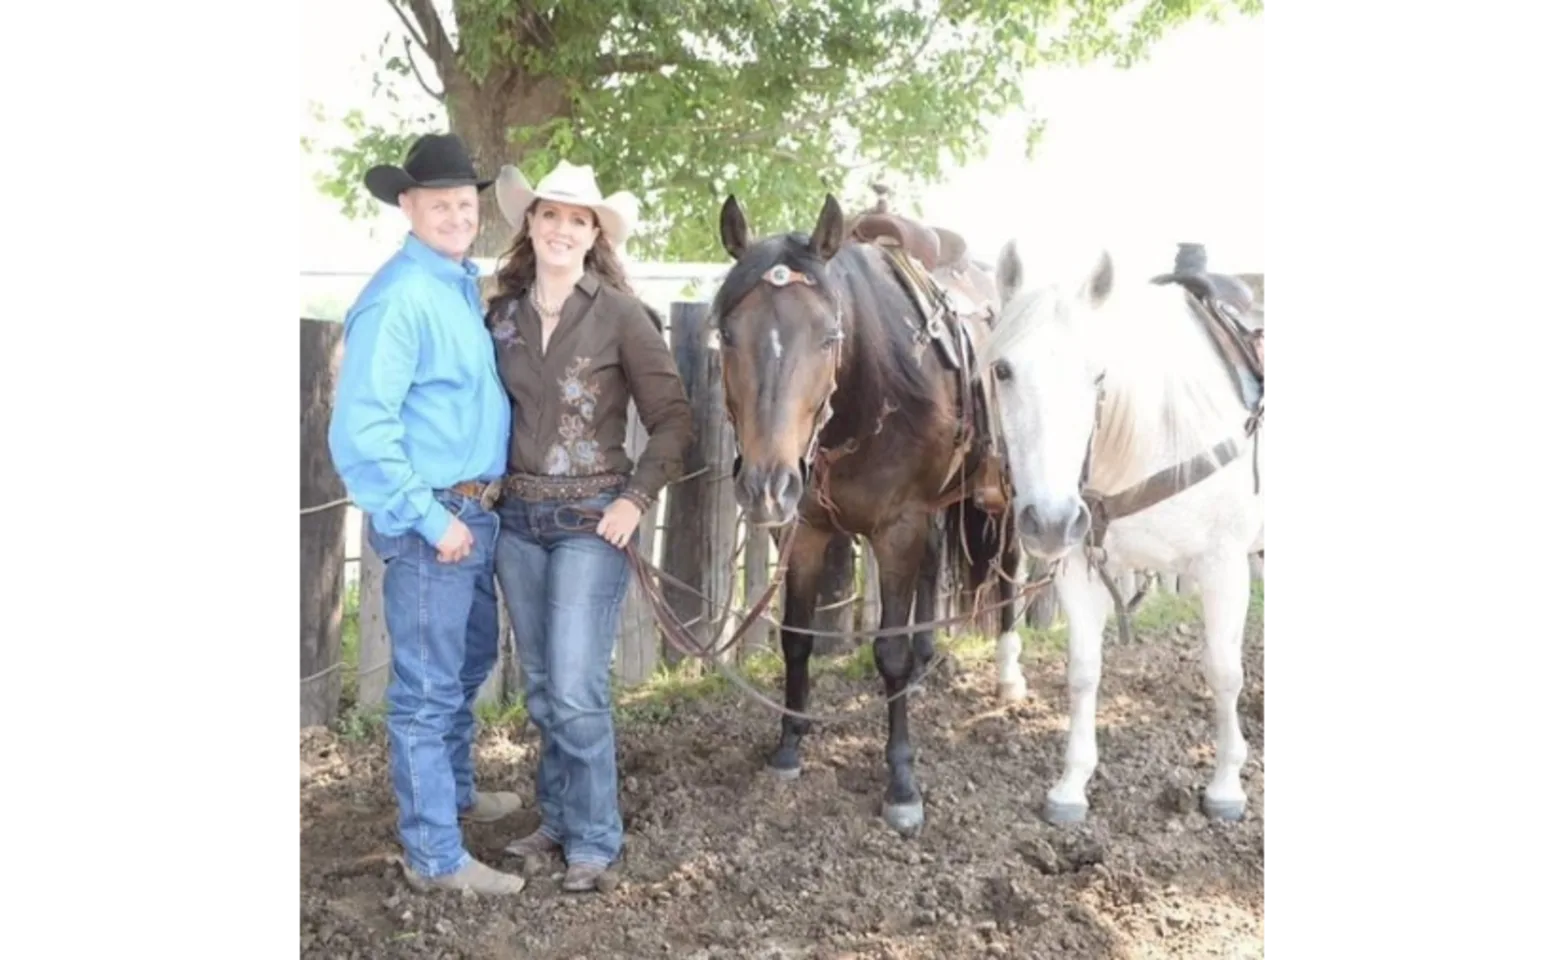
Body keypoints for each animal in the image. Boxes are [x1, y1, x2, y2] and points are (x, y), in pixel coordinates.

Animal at [713, 193, 1025, 838]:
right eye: (727, 334)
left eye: (829, 336)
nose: (765, 485)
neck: (863, 400)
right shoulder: (807, 529)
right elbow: (796, 638)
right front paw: (789, 746)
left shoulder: (896, 528)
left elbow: (889, 654)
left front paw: (901, 782)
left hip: (1003, 490)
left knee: (1010, 565)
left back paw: (1009, 676)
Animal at [982, 240, 1276, 825]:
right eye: (1002, 369)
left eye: (1098, 374)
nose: (1049, 520)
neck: (1156, 436)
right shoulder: (1079, 563)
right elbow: (1083, 671)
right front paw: (1071, 785)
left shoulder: (1224, 567)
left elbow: (1224, 671)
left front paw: (1226, 785)